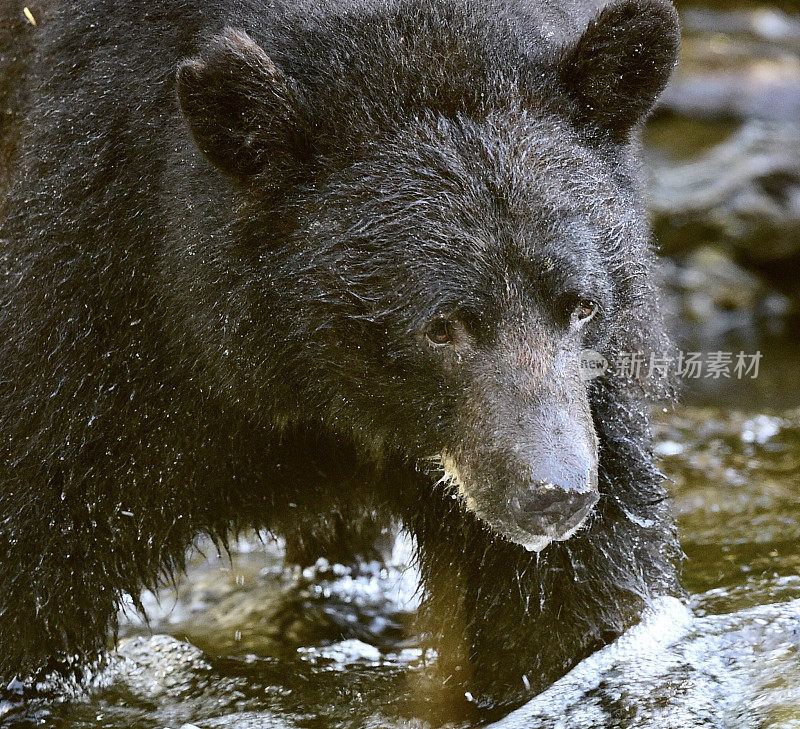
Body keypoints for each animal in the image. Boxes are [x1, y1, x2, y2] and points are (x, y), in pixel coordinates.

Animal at [1, 0, 680, 712]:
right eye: (442, 328)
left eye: (582, 305)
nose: (553, 495)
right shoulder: (106, 295)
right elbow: (41, 544)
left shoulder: (588, 403)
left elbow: (562, 602)